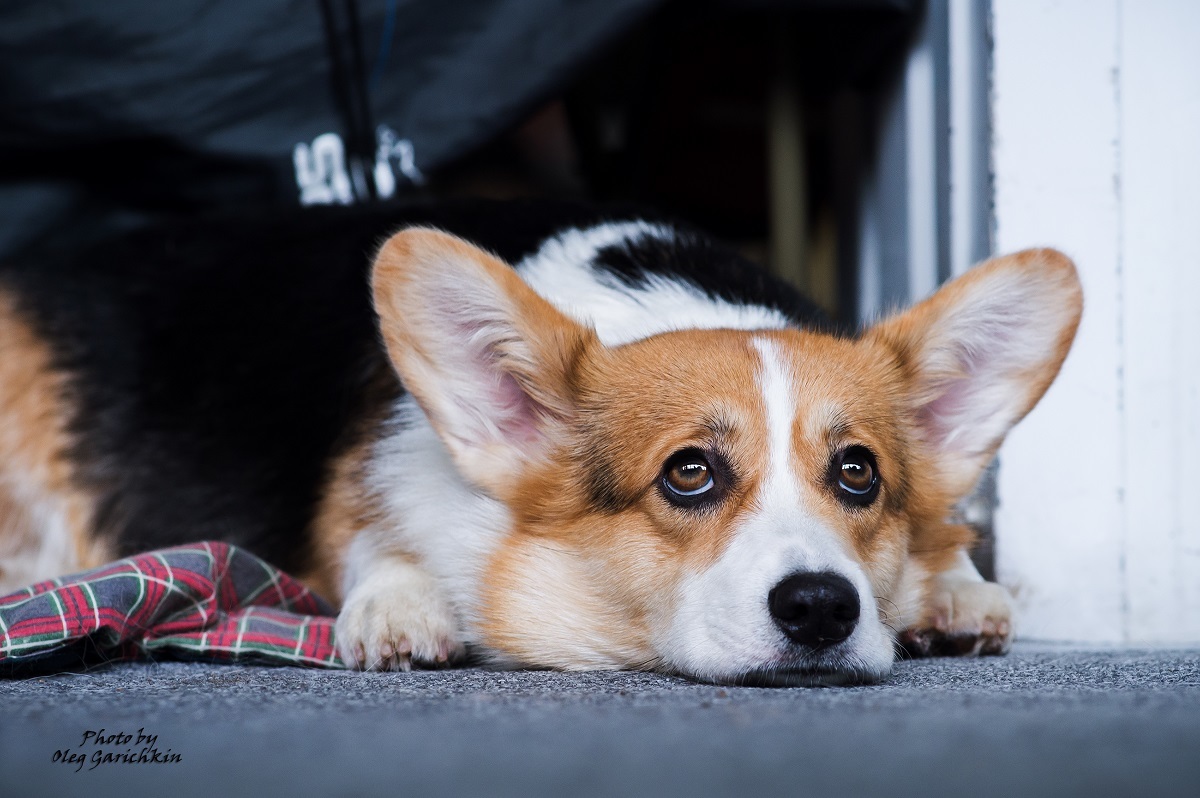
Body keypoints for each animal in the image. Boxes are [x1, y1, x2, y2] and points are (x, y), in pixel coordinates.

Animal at [0, 200, 1089, 686]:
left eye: (858, 473)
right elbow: (374, 542)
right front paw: (397, 606)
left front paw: (953, 594)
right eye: (688, 473)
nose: (823, 608)